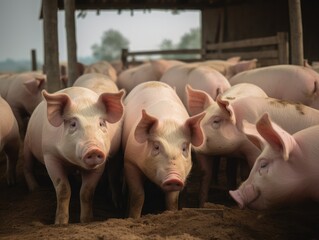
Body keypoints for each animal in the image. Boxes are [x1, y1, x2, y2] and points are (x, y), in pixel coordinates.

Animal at [23, 87, 125, 224]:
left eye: (101, 123)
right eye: (73, 124)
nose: (94, 149)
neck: (73, 163)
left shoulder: (100, 165)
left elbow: (87, 192)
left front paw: (86, 221)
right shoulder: (50, 155)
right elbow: (63, 189)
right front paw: (60, 223)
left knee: (113, 176)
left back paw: (118, 204)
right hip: (26, 143)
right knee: (27, 167)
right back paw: (34, 189)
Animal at [122, 81, 205, 218]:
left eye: (184, 148)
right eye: (156, 147)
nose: (173, 178)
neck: (169, 123)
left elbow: (172, 200)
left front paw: (170, 214)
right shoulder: (130, 161)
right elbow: (138, 195)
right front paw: (133, 218)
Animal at [188, 87, 319, 207]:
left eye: (216, 121)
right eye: (201, 117)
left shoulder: (254, 151)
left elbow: (246, 173)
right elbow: (205, 175)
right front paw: (201, 206)